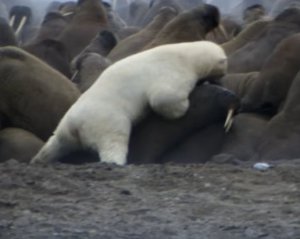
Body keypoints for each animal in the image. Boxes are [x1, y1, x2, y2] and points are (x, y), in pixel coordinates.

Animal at [31, 40, 227, 165]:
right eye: (224, 64)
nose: (223, 76)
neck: (186, 52)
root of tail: (77, 125)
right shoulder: (171, 70)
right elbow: (163, 97)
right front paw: (183, 108)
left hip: (66, 124)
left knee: (56, 142)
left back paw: (39, 159)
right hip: (107, 119)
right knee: (113, 141)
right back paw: (115, 162)